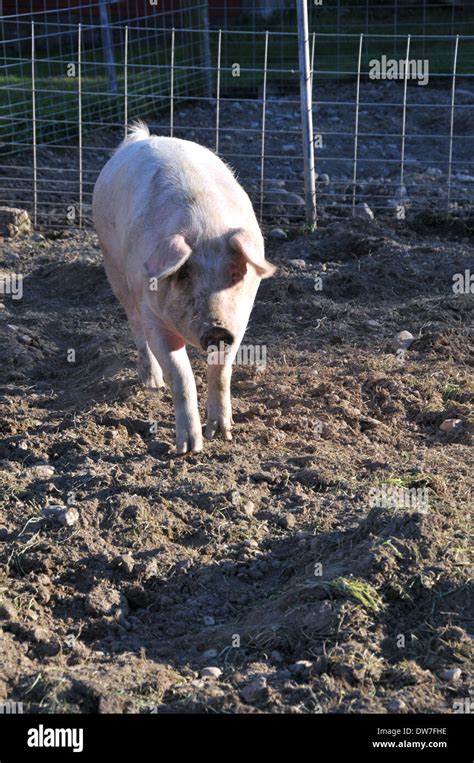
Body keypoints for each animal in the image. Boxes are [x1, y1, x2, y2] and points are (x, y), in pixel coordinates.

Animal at [92, 121, 276, 454]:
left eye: (235, 271)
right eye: (185, 273)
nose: (216, 329)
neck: (205, 226)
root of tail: (140, 138)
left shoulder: (240, 320)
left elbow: (221, 373)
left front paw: (222, 433)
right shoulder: (153, 315)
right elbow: (181, 376)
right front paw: (189, 448)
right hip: (113, 263)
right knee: (134, 325)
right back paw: (152, 383)